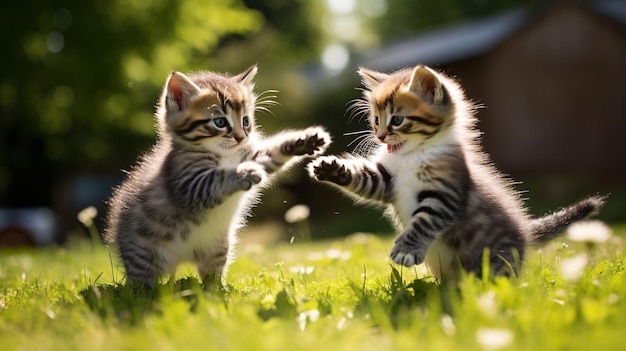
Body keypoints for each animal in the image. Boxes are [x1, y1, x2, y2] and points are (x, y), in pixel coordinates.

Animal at [106, 65, 332, 286]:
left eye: (245, 121)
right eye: (220, 122)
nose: (241, 137)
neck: (224, 154)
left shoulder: (248, 154)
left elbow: (269, 155)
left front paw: (301, 142)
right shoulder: (186, 183)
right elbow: (216, 178)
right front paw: (245, 172)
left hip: (218, 246)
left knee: (211, 277)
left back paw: (217, 290)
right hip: (144, 253)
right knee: (141, 282)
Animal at [310, 64, 604, 282]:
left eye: (397, 120)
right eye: (376, 120)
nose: (381, 136)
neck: (413, 154)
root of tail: (525, 232)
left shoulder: (445, 194)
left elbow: (423, 221)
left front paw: (406, 250)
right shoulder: (386, 180)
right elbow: (364, 178)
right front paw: (331, 168)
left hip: (495, 260)